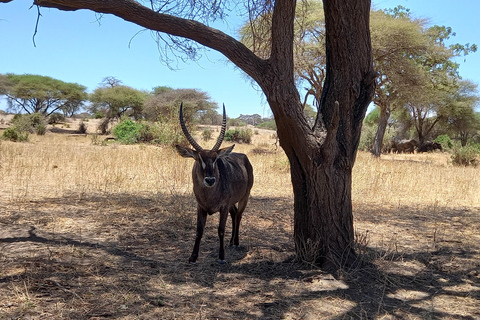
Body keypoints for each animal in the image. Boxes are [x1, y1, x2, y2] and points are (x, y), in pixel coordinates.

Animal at [175, 104, 251, 264]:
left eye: (216, 159)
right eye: (198, 159)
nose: (210, 180)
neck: (208, 195)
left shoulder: (223, 207)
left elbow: (220, 229)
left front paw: (221, 257)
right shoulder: (201, 207)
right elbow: (199, 230)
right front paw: (193, 256)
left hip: (245, 197)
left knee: (239, 215)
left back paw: (236, 242)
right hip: (231, 203)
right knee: (234, 213)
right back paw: (231, 242)